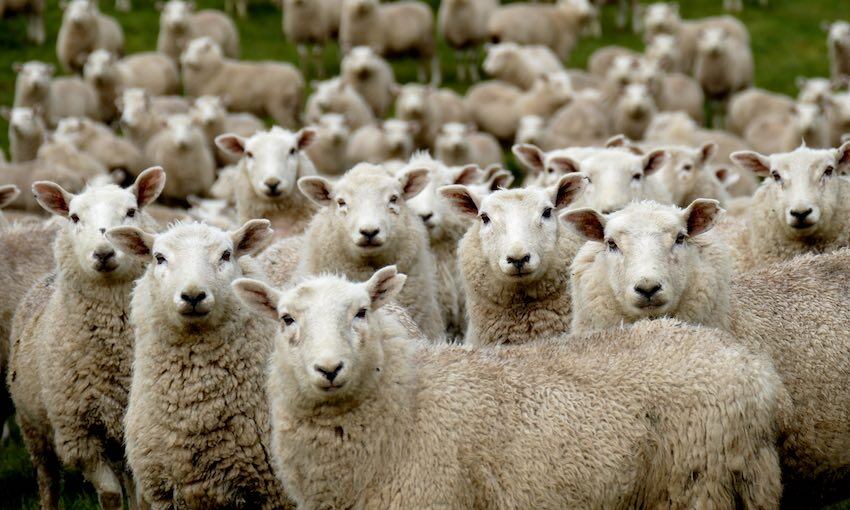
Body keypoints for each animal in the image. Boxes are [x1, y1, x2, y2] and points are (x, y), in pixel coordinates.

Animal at [7, 168, 165, 510]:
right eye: (75, 217)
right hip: (33, 426)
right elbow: (109, 494)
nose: (103, 253)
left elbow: (139, 497)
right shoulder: (79, 436)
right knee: (48, 479)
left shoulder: (133, 431)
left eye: (131, 211)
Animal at [104, 220, 293, 509]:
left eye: (226, 255)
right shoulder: (161, 492)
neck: (196, 411)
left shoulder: (274, 493)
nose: (193, 295)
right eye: (159, 257)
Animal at [233, 268, 786, 510]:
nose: (329, 369)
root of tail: (756, 371)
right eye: (286, 319)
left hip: (698, 483)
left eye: (361, 312)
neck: (407, 405)